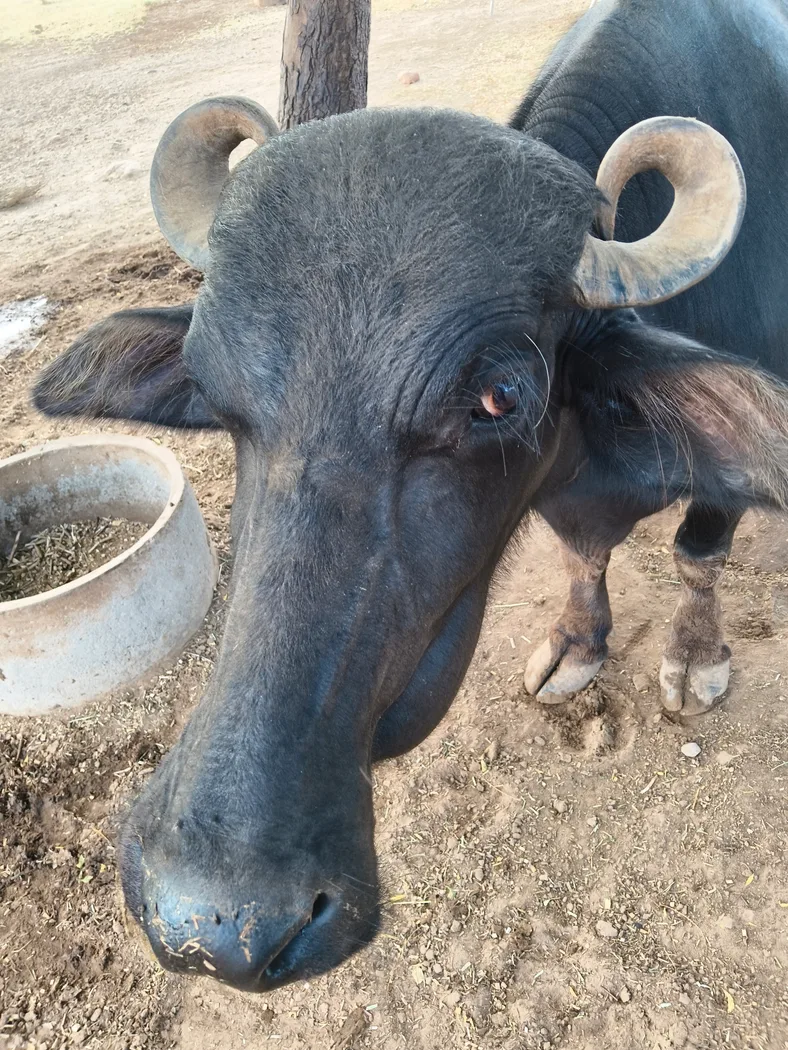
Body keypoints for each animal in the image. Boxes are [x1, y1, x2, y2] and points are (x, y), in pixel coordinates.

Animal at [32, 0, 788, 993]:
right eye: (208, 378)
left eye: (500, 395)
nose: (213, 919)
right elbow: (583, 550)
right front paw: (576, 643)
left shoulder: (719, 477)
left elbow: (698, 552)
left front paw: (693, 660)